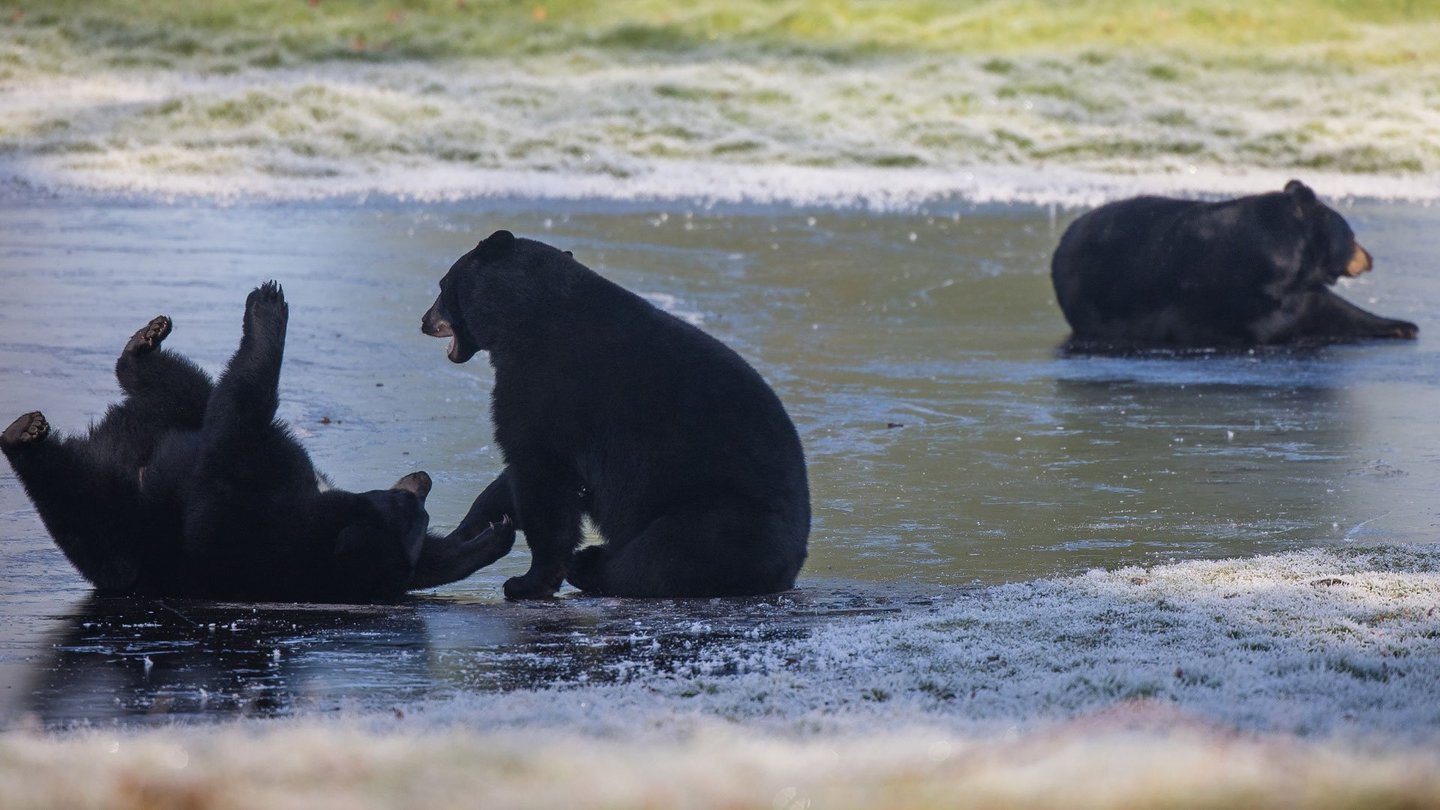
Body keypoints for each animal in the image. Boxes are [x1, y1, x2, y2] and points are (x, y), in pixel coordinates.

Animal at [1, 282, 514, 603]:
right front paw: (493, 535)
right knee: (186, 389)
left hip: (114, 519)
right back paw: (145, 342)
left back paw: (25, 436)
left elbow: (234, 430)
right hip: (170, 419)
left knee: (72, 495)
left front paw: (269, 307)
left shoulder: (253, 505)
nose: (424, 479)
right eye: (414, 506)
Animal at [420, 230, 811, 599]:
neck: (522, 316)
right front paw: (470, 529)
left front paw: (528, 581)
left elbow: (541, 477)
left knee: (658, 557)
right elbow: (514, 482)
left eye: (441, 285)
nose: (424, 320)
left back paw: (591, 564)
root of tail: (791, 567)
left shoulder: (543, 388)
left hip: (719, 518)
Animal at [1050, 180, 1419, 349]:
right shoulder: (1232, 297)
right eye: (1352, 234)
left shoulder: (1302, 292)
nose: (1369, 257)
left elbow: (1336, 309)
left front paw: (1402, 325)